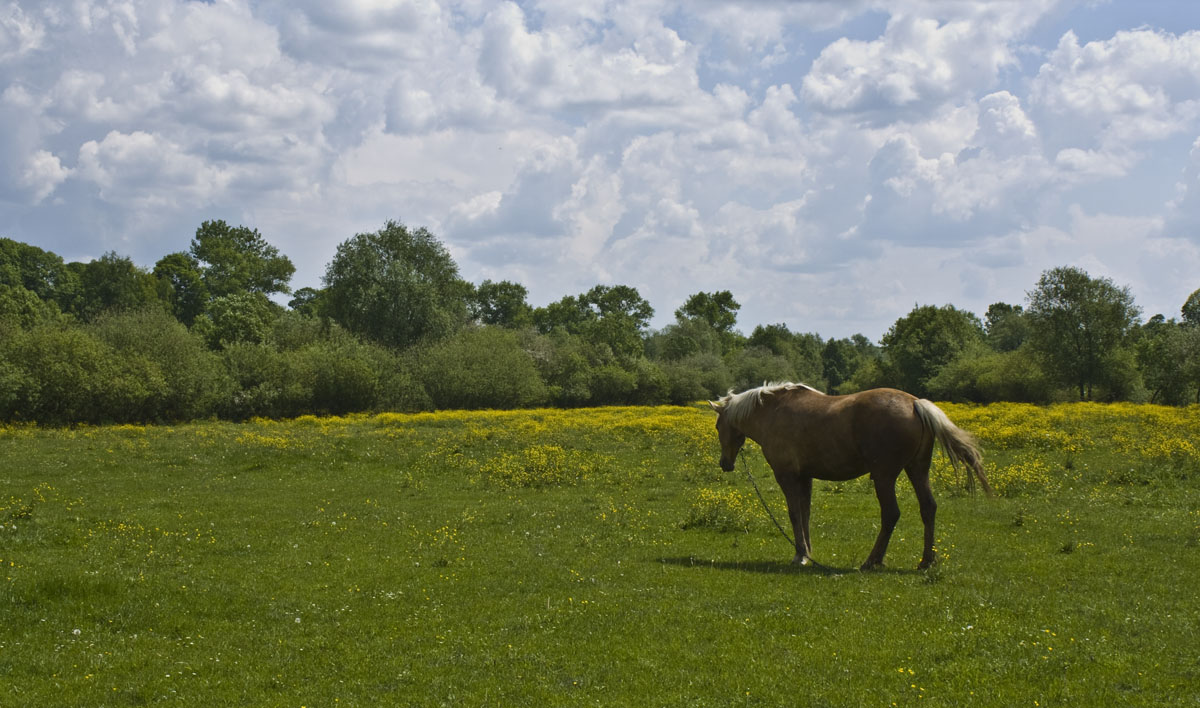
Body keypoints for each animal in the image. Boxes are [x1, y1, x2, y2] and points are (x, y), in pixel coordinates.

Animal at [705, 384, 988, 571]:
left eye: (718, 426)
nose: (725, 464)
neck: (774, 412)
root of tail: (915, 403)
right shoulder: (805, 478)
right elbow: (805, 514)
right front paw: (807, 553)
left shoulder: (787, 476)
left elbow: (794, 514)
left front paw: (800, 555)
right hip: (917, 470)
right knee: (928, 508)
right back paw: (926, 561)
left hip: (884, 476)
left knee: (891, 514)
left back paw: (872, 561)